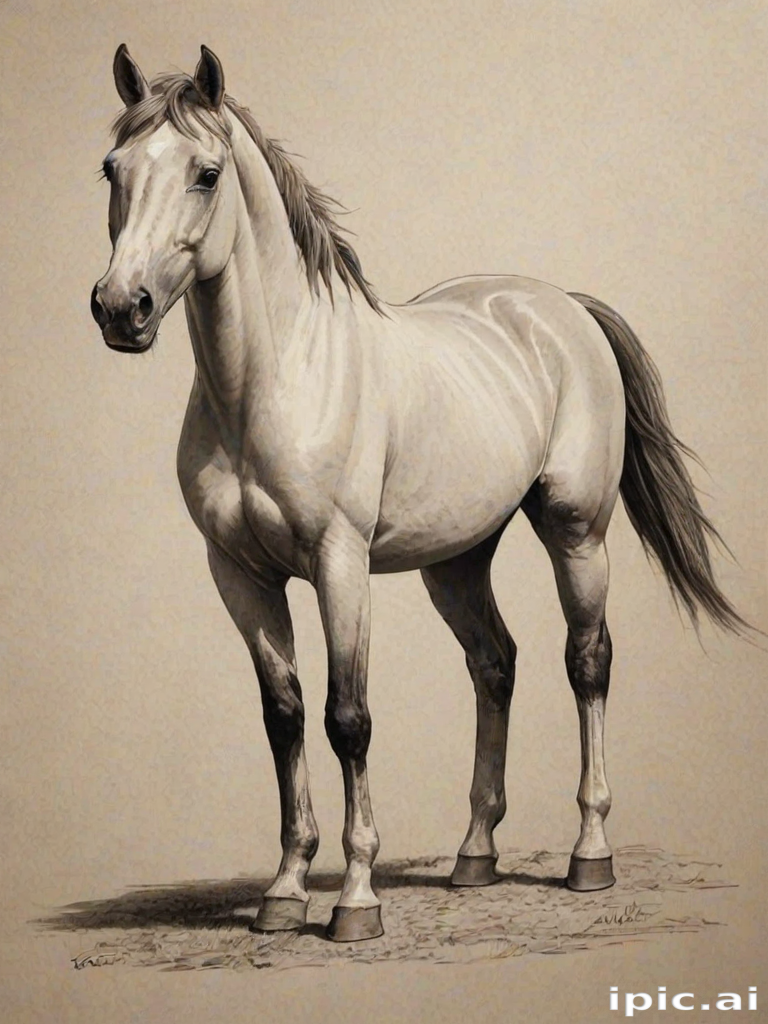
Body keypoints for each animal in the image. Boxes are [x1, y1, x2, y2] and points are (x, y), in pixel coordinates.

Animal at [91, 44, 748, 942]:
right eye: (111, 168)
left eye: (206, 173)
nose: (121, 308)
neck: (276, 381)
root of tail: (558, 307)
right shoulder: (239, 574)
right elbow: (284, 715)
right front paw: (284, 890)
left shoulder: (338, 565)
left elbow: (348, 718)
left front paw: (355, 899)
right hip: (457, 560)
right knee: (495, 665)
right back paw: (474, 856)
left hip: (576, 533)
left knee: (587, 663)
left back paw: (590, 855)